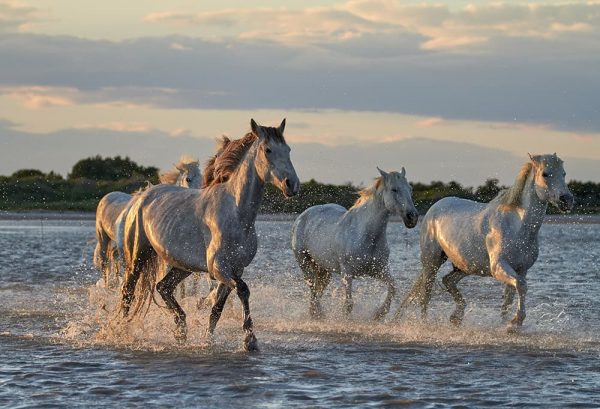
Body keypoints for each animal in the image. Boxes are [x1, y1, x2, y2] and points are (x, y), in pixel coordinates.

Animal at [120, 118, 300, 350]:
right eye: (268, 150)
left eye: (288, 150)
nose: (292, 184)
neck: (235, 212)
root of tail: (142, 196)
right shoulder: (219, 268)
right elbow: (243, 290)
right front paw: (249, 339)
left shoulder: (235, 268)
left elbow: (217, 309)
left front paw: (209, 341)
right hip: (138, 257)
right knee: (128, 292)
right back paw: (120, 332)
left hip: (182, 266)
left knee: (163, 287)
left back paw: (181, 331)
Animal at [290, 166, 418, 318]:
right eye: (394, 189)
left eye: (410, 189)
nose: (412, 217)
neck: (365, 235)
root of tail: (301, 217)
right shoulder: (347, 274)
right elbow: (348, 305)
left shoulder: (378, 270)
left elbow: (392, 287)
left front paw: (379, 315)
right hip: (305, 264)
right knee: (313, 291)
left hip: (324, 269)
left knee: (316, 292)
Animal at [396, 154, 576, 332]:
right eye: (545, 174)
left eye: (564, 173)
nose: (566, 200)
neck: (517, 225)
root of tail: (435, 207)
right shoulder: (498, 267)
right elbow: (521, 286)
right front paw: (515, 321)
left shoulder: (521, 269)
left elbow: (509, 297)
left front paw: (506, 324)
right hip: (432, 262)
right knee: (426, 295)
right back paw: (424, 324)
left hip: (465, 266)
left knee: (448, 280)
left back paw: (456, 317)